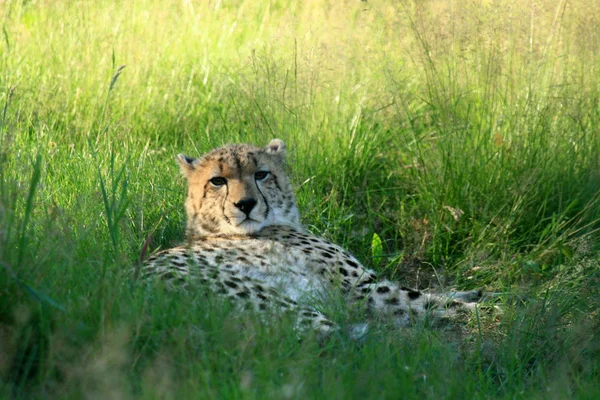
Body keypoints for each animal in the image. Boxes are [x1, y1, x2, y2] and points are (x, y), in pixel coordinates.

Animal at [141, 139, 492, 340]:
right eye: (217, 181)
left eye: (261, 174)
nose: (245, 204)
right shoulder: (360, 290)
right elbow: (432, 301)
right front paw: (490, 310)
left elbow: (439, 293)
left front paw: (476, 292)